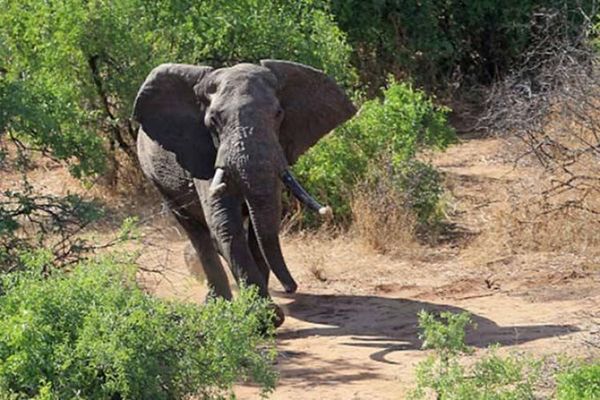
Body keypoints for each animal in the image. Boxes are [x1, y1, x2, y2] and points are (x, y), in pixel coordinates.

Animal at [132, 59, 356, 326]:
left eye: (278, 114)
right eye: (213, 120)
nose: (291, 287)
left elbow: (262, 227)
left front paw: (263, 311)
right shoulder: (202, 151)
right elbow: (225, 223)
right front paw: (264, 318)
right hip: (156, 179)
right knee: (196, 231)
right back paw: (216, 303)